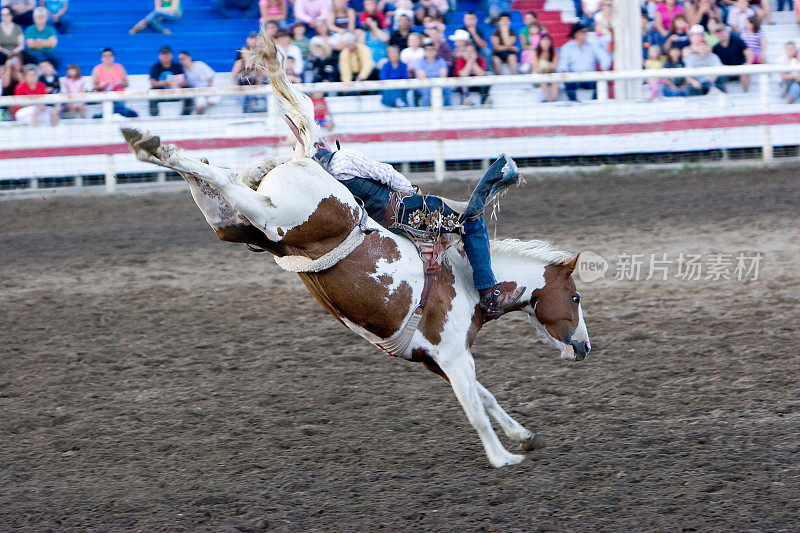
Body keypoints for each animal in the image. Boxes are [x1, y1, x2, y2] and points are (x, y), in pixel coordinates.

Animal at [115, 33, 588, 468]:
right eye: (576, 297)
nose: (584, 348)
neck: (468, 284)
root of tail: (309, 158)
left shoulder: (436, 361)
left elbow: (484, 397)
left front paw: (523, 436)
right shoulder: (453, 355)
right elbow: (474, 407)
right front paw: (503, 457)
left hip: (237, 225)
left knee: (205, 180)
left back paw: (150, 144)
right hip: (273, 215)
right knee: (225, 180)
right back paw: (148, 143)